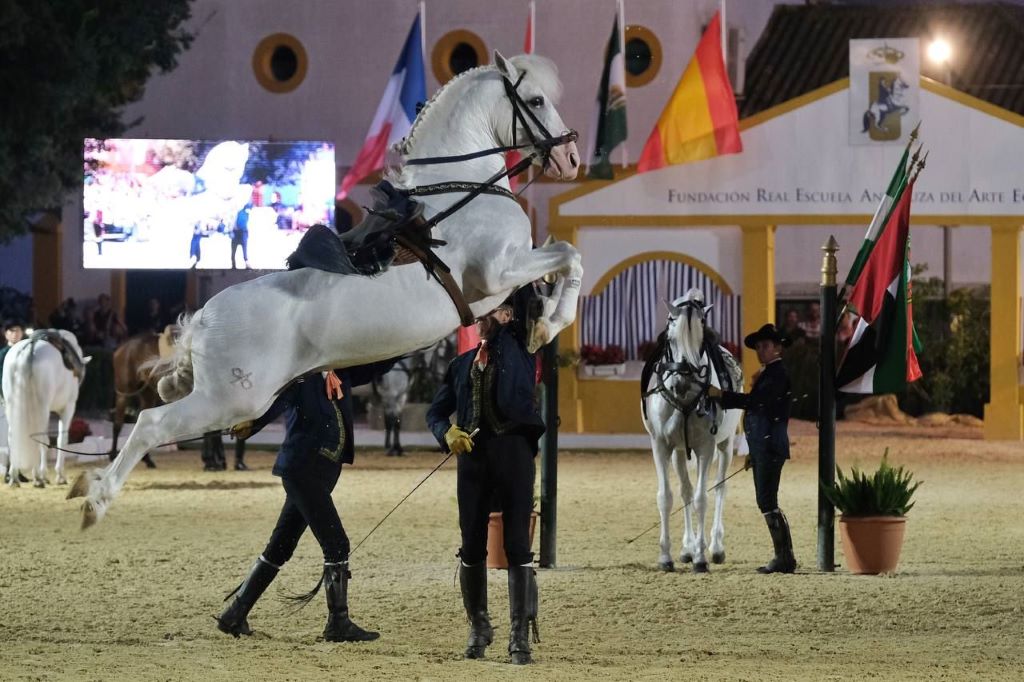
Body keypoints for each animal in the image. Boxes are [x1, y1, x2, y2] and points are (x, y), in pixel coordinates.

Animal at [1, 330, 90, 487]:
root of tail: (29, 349)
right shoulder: (68, 407)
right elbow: (61, 439)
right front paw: (59, 476)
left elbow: (47, 440)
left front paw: (45, 474)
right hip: (41, 407)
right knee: (37, 437)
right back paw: (37, 478)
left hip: (13, 406)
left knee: (13, 436)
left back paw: (14, 477)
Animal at [71, 51, 582, 527]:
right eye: (537, 100)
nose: (571, 157)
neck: (460, 191)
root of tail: (204, 317)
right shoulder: (499, 272)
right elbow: (569, 255)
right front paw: (547, 325)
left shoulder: (505, 278)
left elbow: (559, 263)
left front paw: (540, 321)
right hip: (231, 399)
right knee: (149, 423)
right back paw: (95, 499)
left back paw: (88, 483)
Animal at [640, 289, 743, 573]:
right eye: (670, 339)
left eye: (701, 338)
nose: (682, 382)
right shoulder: (661, 445)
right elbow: (666, 497)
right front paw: (667, 556)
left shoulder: (706, 447)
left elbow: (701, 498)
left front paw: (700, 557)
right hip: (678, 452)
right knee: (685, 490)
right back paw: (686, 548)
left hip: (725, 446)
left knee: (719, 488)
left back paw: (715, 548)